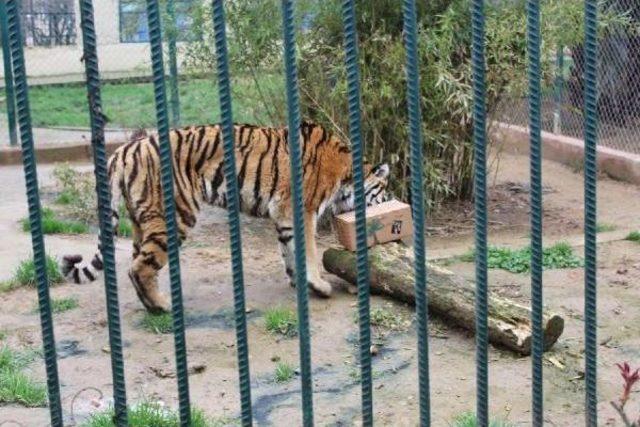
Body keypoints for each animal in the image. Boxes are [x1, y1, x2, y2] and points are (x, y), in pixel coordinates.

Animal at [61, 122, 390, 312]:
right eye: (385, 191)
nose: (392, 200)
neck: (344, 173)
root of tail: (125, 150)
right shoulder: (303, 210)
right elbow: (307, 250)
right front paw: (319, 286)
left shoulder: (282, 214)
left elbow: (288, 250)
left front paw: (300, 283)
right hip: (174, 216)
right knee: (139, 267)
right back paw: (163, 307)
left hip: (141, 222)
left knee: (136, 263)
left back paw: (152, 305)